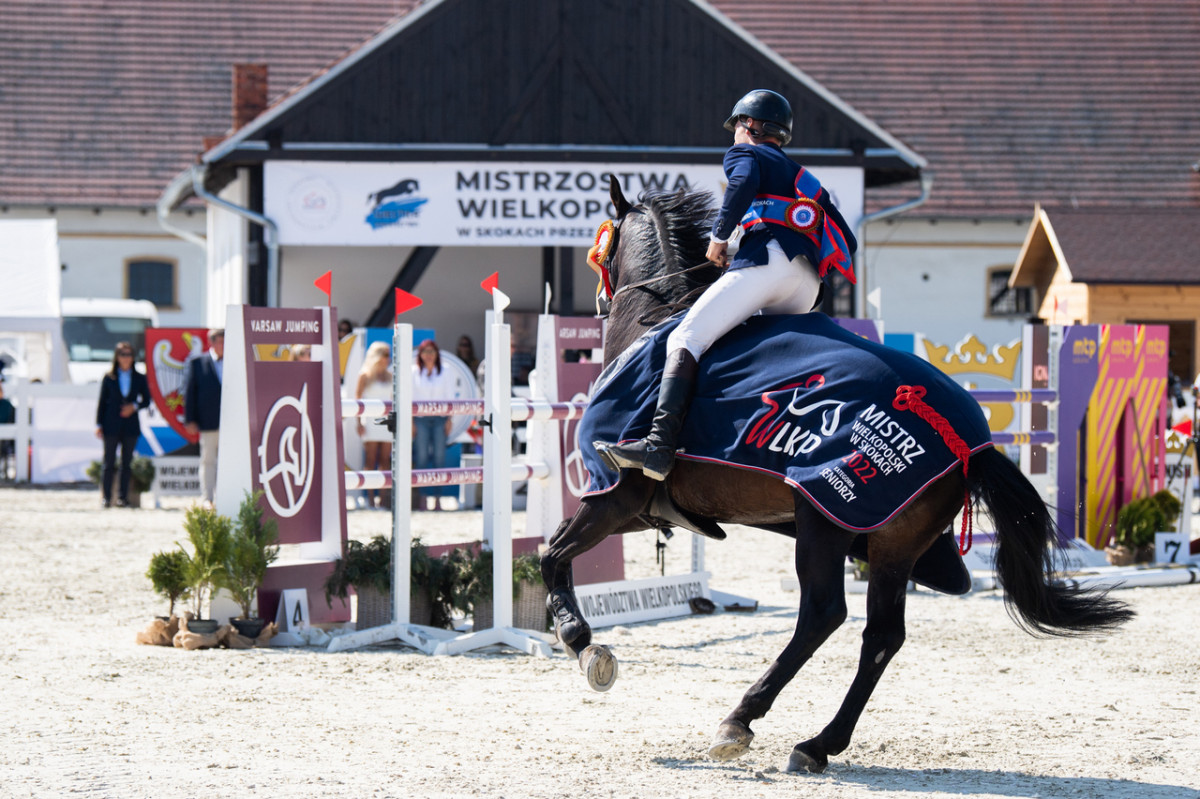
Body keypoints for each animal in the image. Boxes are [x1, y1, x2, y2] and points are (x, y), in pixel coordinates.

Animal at [544, 176, 1132, 772]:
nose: (596, 302)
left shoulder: (614, 496)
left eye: (601, 246)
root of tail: (970, 443)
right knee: (881, 635)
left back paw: (741, 720)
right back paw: (819, 743)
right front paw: (580, 640)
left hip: (824, 519)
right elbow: (557, 552)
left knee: (823, 614)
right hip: (893, 544)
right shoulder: (644, 512)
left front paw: (580, 641)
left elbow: (552, 556)